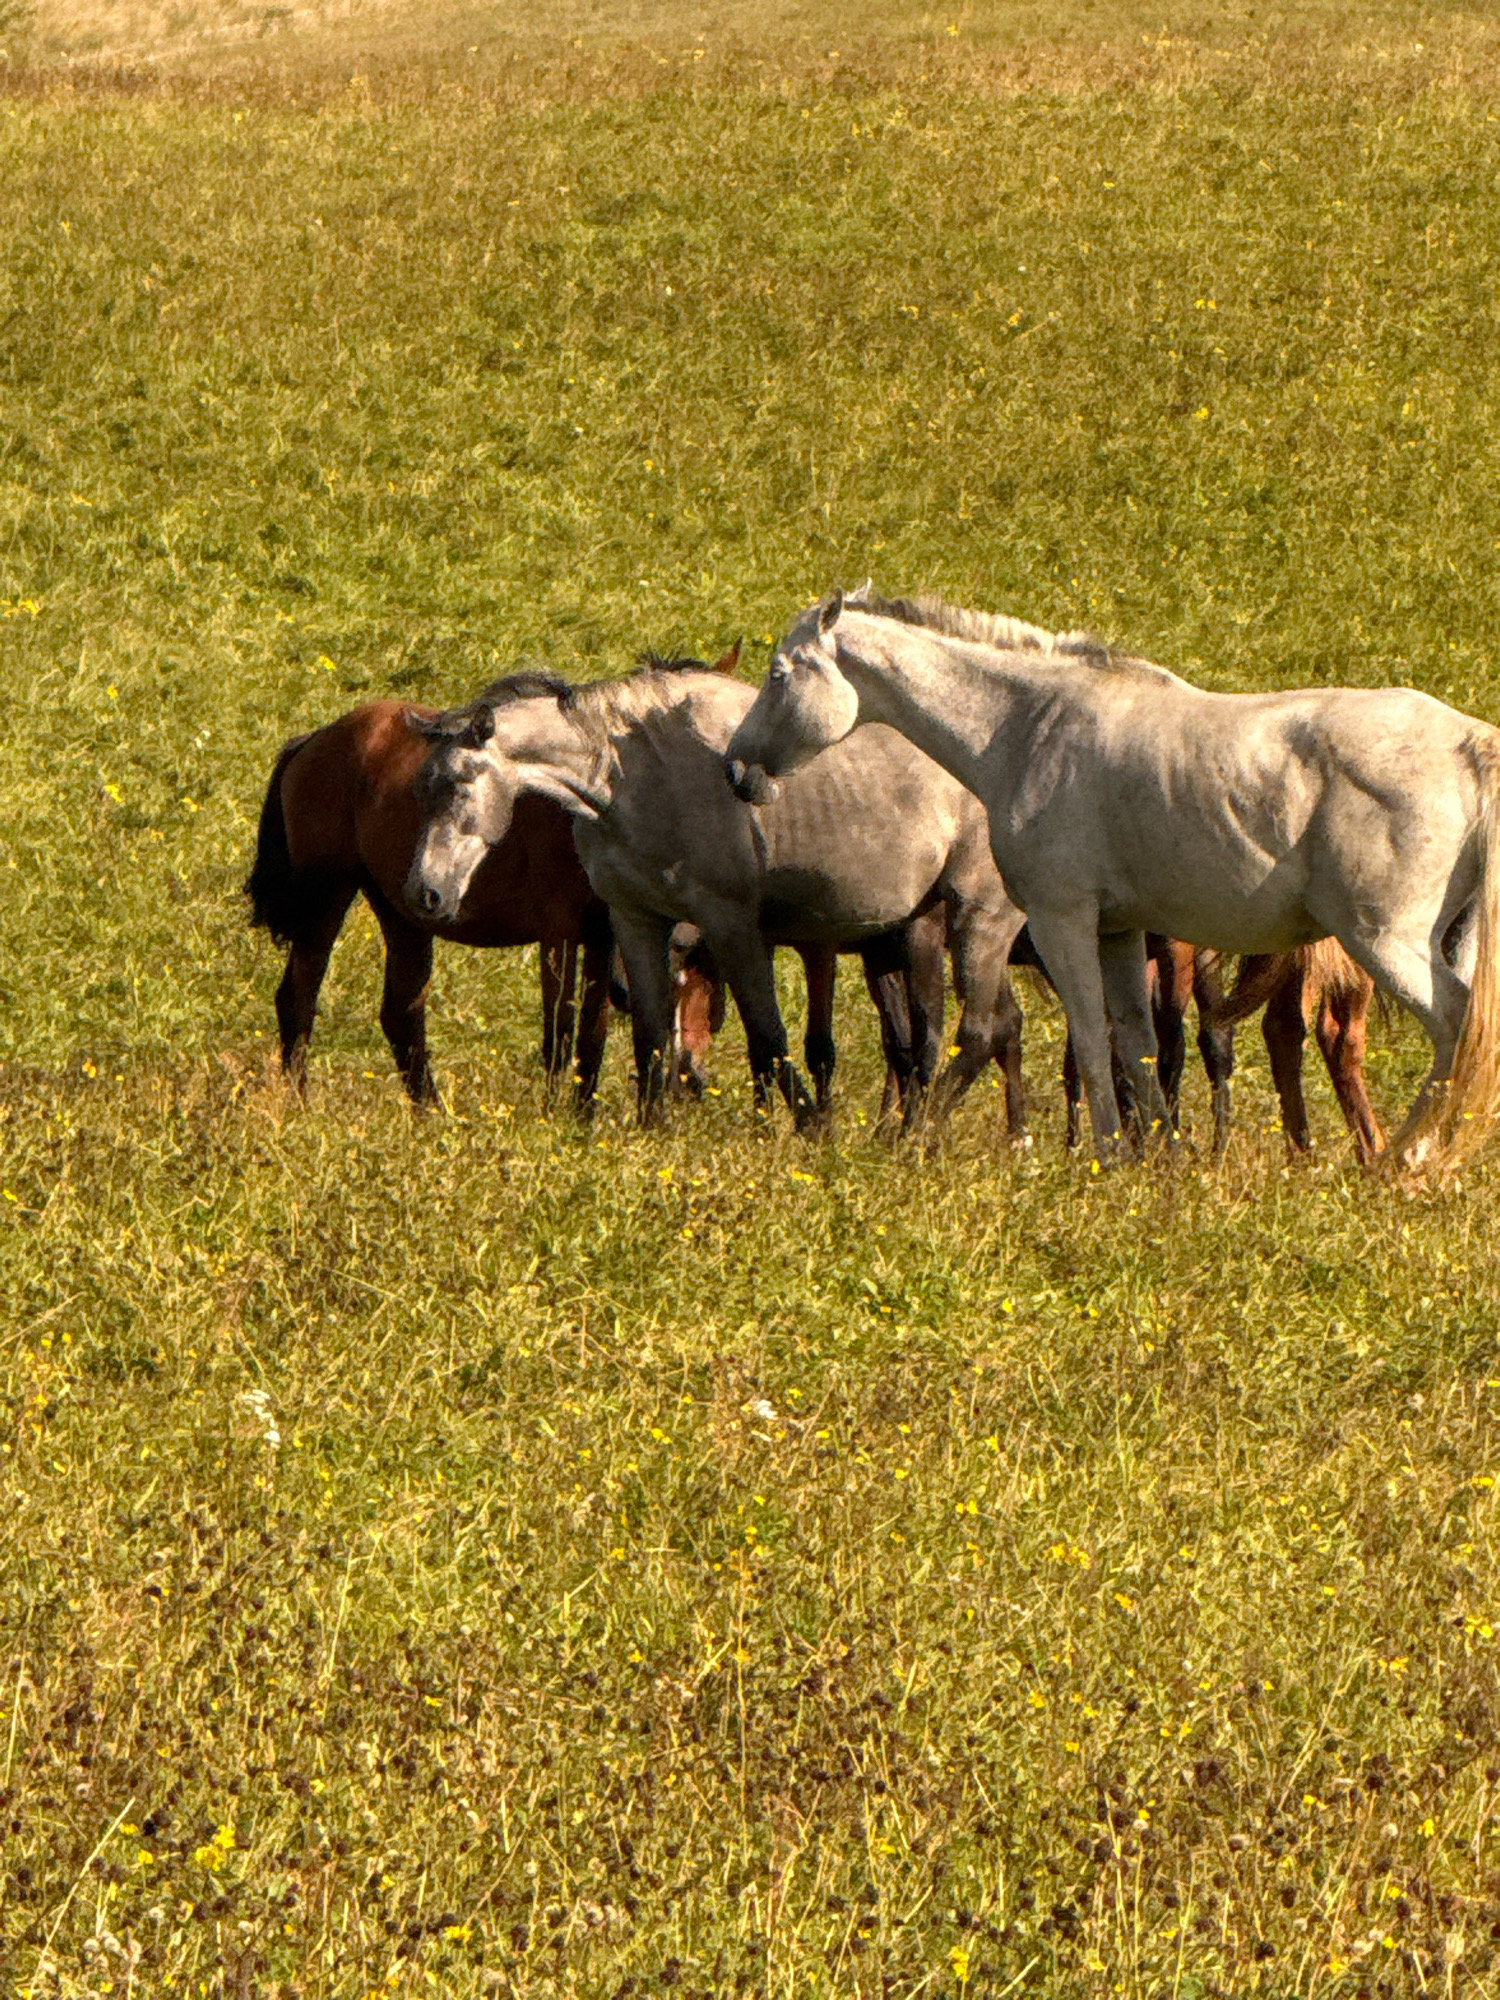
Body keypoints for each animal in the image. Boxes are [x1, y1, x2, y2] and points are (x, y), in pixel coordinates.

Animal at [400, 659, 1029, 1134]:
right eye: (424, 788)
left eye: (457, 785)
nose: (425, 894)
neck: (635, 776)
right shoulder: (636, 920)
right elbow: (652, 1035)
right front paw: (653, 1130)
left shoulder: (731, 925)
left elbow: (769, 1039)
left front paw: (810, 1128)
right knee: (954, 1036)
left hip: (974, 919)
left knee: (971, 1036)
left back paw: (916, 1140)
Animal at [725, 588, 1500, 1170]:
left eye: (779, 674)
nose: (736, 769)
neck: (1028, 726)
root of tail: (1468, 744)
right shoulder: (1120, 932)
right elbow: (1137, 1041)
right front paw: (1162, 1156)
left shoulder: (1062, 920)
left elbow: (1091, 1038)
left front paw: (1104, 1157)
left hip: (1386, 942)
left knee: (1456, 1032)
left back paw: (1409, 1158)